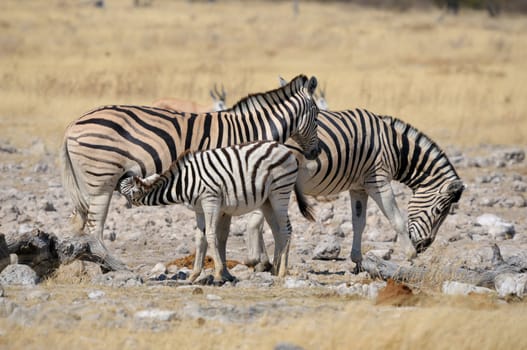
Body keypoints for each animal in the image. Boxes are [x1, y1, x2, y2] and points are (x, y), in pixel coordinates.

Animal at [118, 141, 314, 284]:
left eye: (124, 192)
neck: (182, 183)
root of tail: (285, 149)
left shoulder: (210, 201)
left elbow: (212, 236)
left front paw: (219, 273)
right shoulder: (199, 210)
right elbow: (200, 239)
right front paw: (193, 275)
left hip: (280, 192)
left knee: (286, 229)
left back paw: (282, 272)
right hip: (267, 201)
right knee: (277, 231)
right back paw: (274, 269)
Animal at [245, 105, 464, 272]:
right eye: (438, 211)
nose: (422, 248)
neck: (395, 149)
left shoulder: (359, 188)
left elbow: (359, 223)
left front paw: (357, 261)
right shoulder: (378, 181)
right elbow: (397, 220)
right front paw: (410, 256)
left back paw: (262, 261)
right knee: (257, 220)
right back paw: (258, 260)